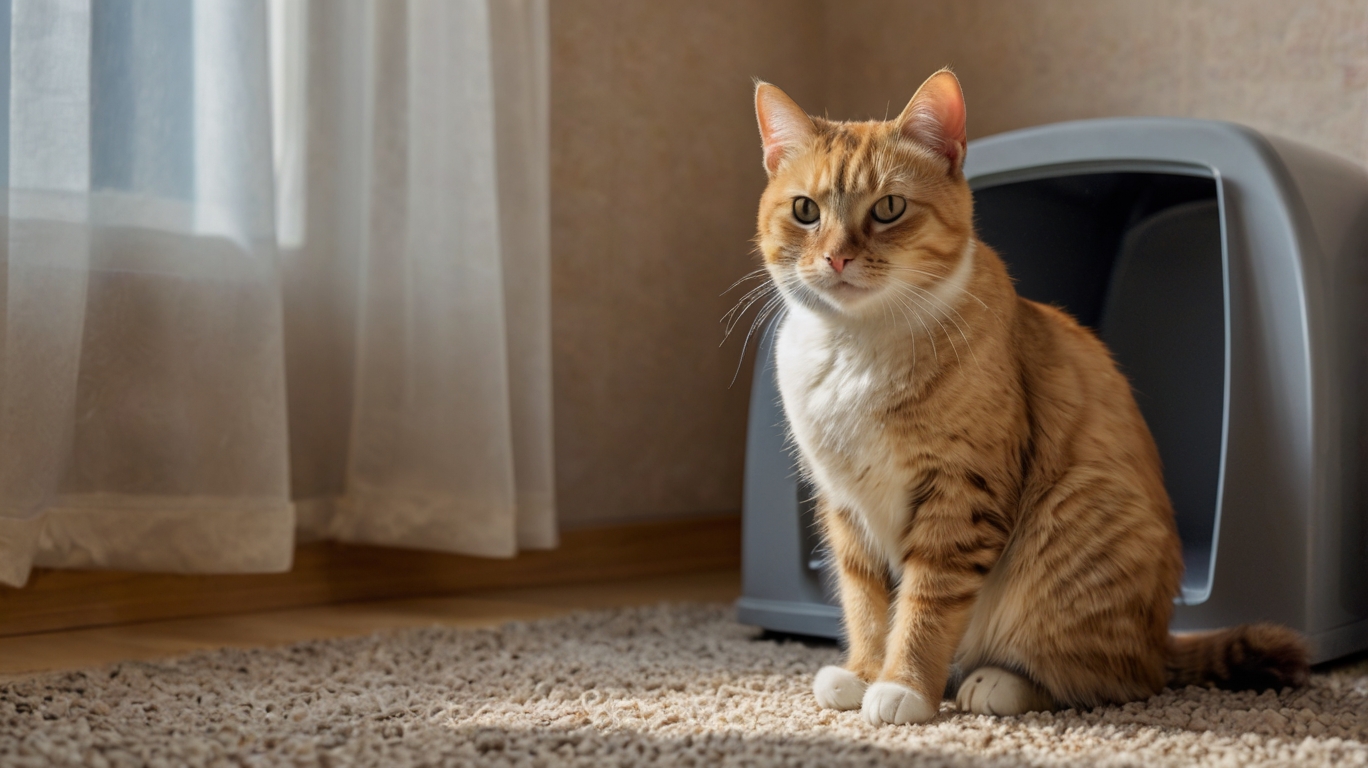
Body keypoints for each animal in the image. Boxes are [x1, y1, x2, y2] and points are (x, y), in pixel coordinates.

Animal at [755, 67, 1307, 722]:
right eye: (805, 210)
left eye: (888, 208)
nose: (837, 257)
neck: (856, 348)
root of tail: (1163, 638)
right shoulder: (846, 505)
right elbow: (865, 603)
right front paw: (864, 672)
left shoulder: (959, 494)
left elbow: (925, 605)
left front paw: (903, 685)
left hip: (1069, 526)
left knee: (1113, 679)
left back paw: (997, 682)